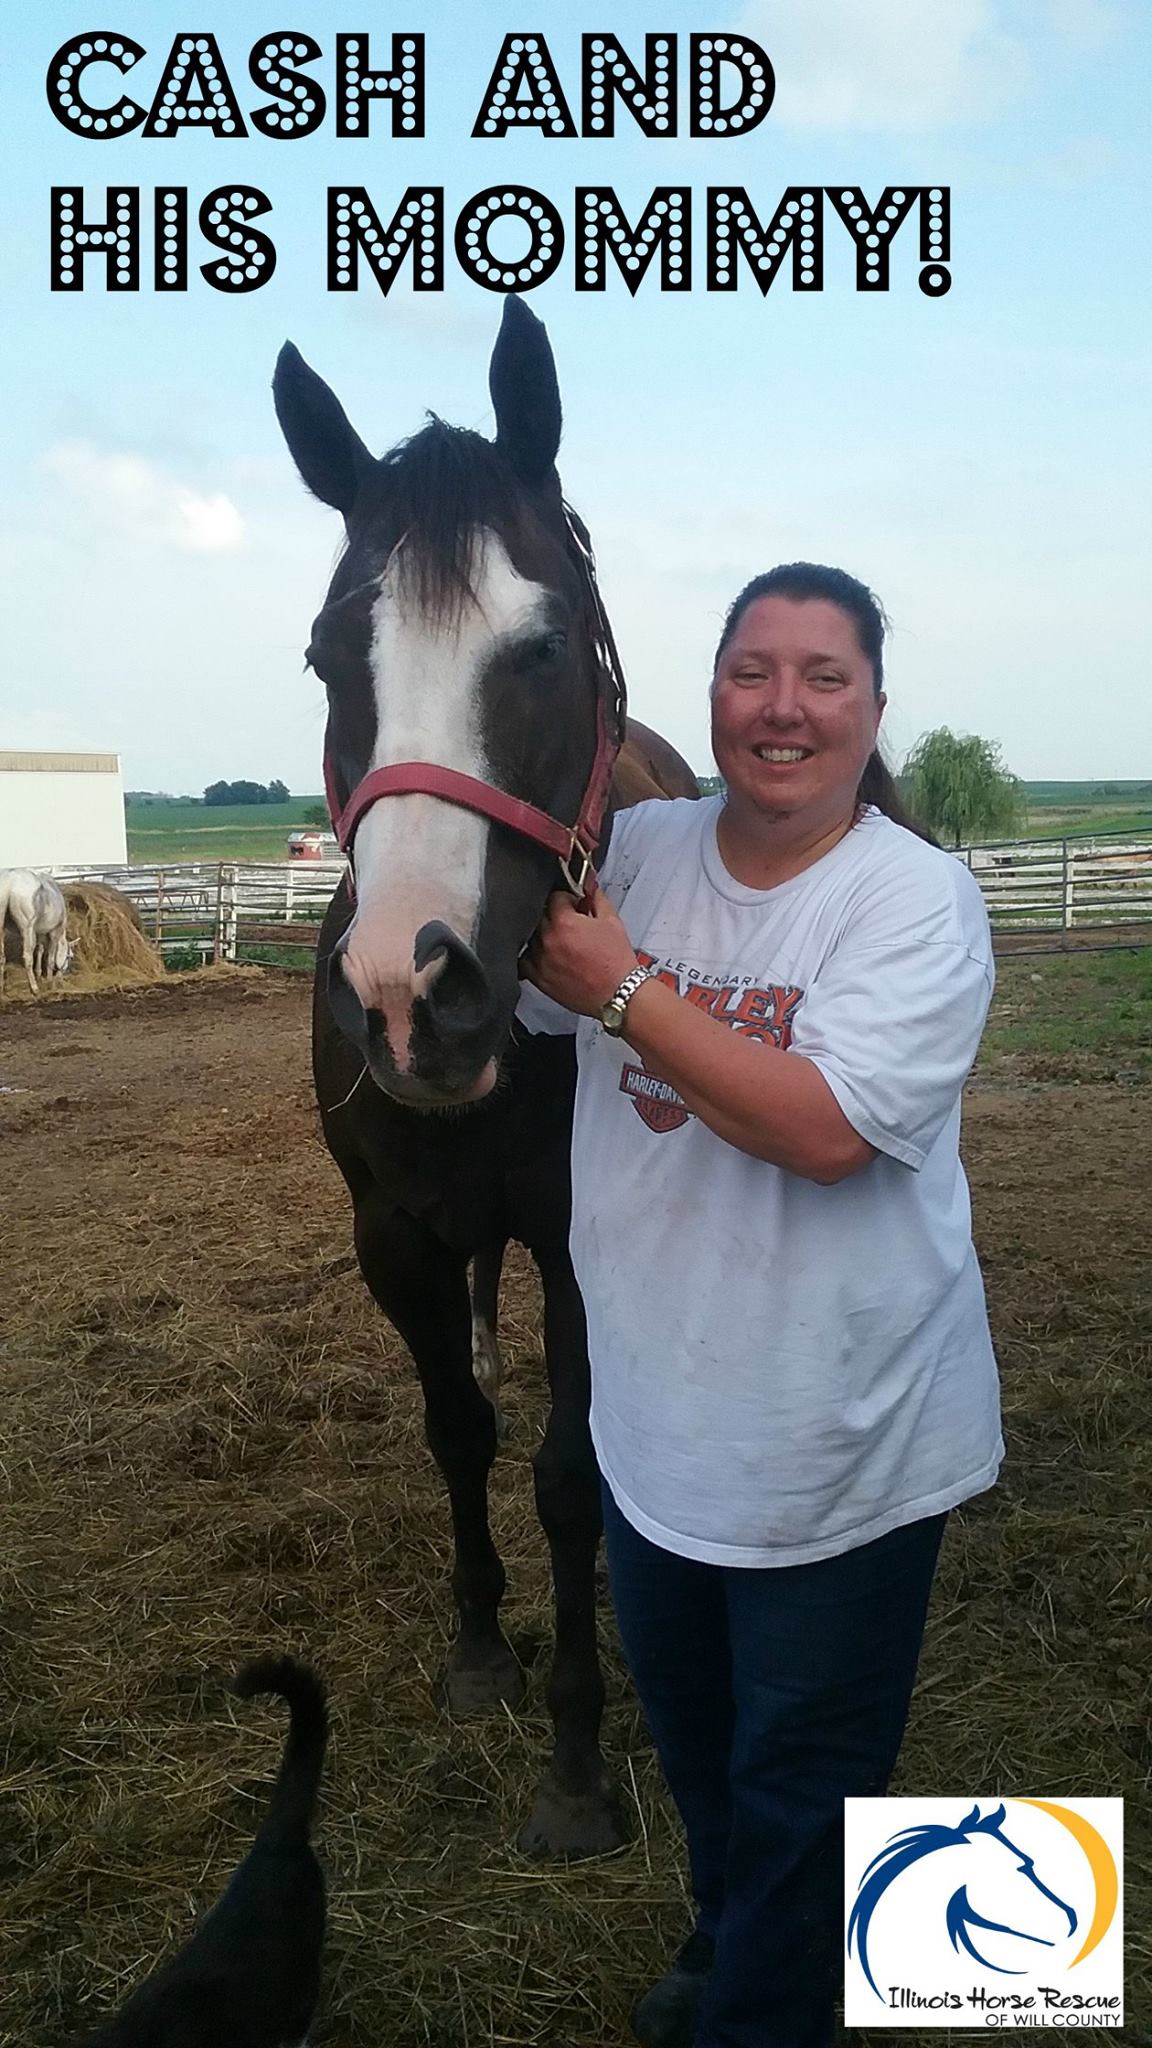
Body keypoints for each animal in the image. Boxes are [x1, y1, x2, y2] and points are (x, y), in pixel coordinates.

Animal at [273, 297, 698, 1858]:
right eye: (330, 656)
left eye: (546, 644)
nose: (412, 995)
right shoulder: (393, 1235)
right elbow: (459, 1428)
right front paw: (478, 1651)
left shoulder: (578, 1245)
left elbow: (568, 1480)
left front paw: (575, 1763)